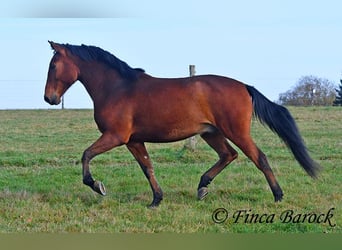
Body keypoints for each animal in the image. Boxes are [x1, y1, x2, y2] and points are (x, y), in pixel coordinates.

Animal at [43, 42, 320, 208]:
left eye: (54, 65)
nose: (49, 98)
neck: (117, 88)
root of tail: (244, 86)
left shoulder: (116, 136)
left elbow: (86, 154)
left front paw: (97, 186)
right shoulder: (134, 140)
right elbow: (147, 167)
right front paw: (156, 200)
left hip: (236, 131)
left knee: (258, 157)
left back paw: (277, 195)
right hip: (211, 133)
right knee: (228, 155)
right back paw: (202, 187)